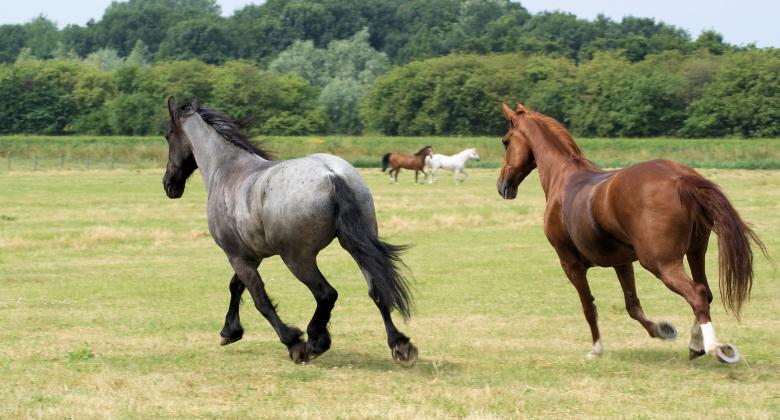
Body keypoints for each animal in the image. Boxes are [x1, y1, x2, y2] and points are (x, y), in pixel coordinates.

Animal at [162, 97, 418, 367]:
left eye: (168, 136)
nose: (168, 184)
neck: (228, 169)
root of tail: (331, 174)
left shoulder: (237, 256)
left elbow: (260, 300)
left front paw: (293, 342)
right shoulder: (251, 256)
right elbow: (236, 286)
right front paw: (229, 332)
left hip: (298, 258)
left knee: (326, 294)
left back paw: (316, 340)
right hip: (355, 245)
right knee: (376, 289)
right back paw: (400, 344)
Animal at [497, 103, 766, 364]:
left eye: (505, 141)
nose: (502, 186)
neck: (563, 179)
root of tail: (680, 178)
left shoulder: (570, 264)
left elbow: (588, 307)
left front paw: (596, 349)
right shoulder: (622, 262)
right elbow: (631, 304)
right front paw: (662, 329)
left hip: (661, 263)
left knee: (697, 294)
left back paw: (715, 349)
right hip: (696, 251)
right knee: (705, 292)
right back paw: (695, 344)